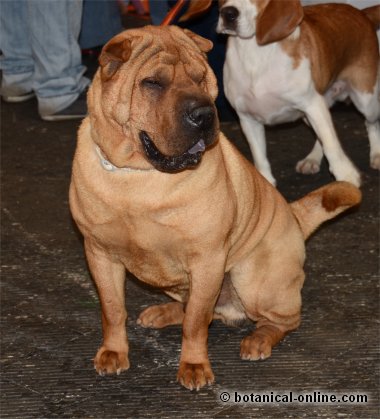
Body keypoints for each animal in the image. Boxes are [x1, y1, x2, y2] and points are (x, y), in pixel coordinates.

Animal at [70, 25, 360, 394]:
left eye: (199, 78)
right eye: (152, 83)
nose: (205, 114)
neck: (139, 176)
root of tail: (294, 217)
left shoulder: (207, 260)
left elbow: (196, 323)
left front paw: (194, 365)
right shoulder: (99, 253)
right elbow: (112, 309)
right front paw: (112, 352)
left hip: (251, 278)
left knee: (282, 319)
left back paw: (258, 340)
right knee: (196, 308)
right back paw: (163, 313)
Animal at [208, 0, 380, 187]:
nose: (228, 14)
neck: (255, 54)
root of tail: (361, 13)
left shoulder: (313, 105)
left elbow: (331, 144)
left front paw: (346, 176)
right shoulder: (248, 119)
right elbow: (260, 158)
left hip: (365, 101)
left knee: (370, 124)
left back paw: (376, 154)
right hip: (310, 115)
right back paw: (312, 159)